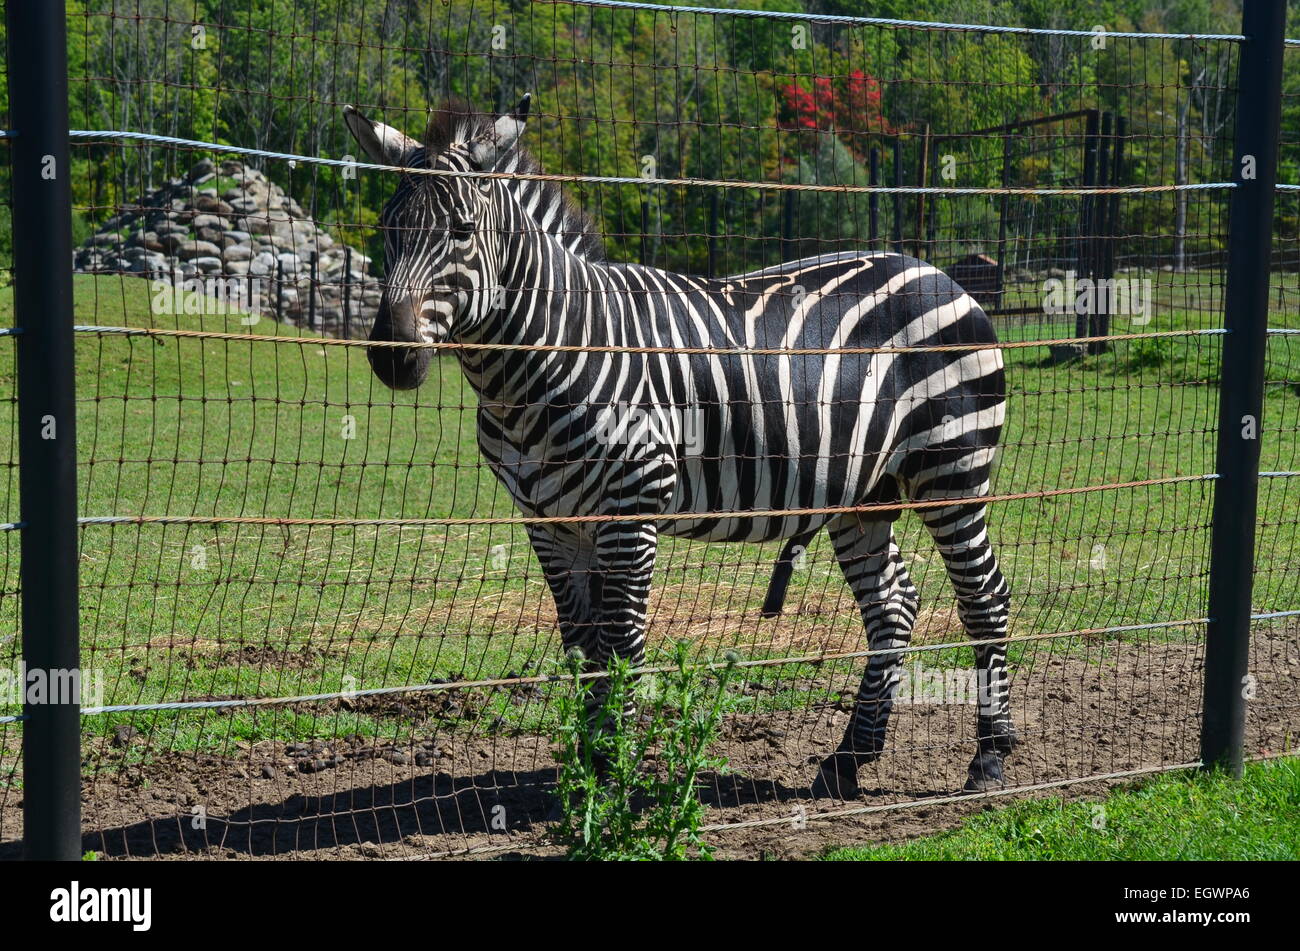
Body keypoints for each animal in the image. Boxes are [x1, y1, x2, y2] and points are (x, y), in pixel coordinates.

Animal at [343, 95, 1015, 797]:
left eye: (463, 231)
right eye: (387, 230)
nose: (391, 357)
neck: (543, 358)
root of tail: (934, 269)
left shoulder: (632, 508)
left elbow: (621, 643)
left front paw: (615, 774)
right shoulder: (547, 522)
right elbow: (581, 646)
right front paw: (587, 772)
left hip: (952, 469)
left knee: (984, 597)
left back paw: (989, 757)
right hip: (865, 493)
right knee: (893, 604)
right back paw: (847, 760)